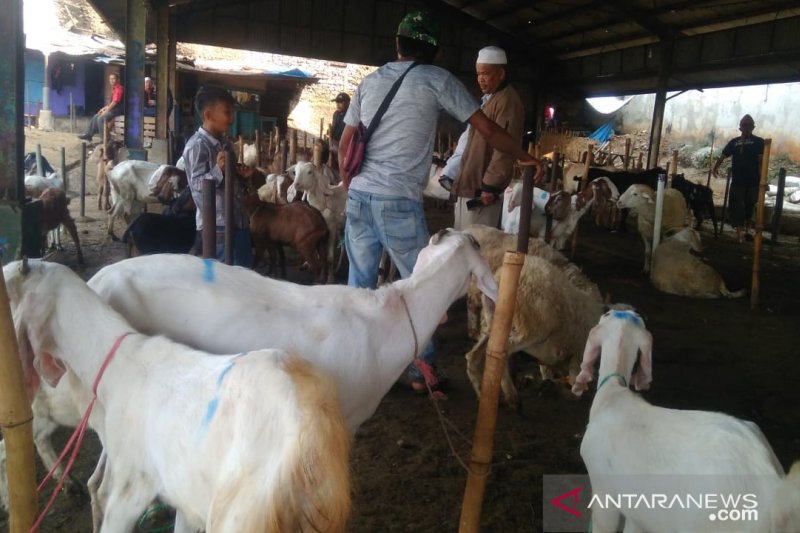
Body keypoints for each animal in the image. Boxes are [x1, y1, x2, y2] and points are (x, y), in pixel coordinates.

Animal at [462, 254, 608, 408]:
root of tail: (499, 278)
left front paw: (548, 384)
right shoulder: (579, 352)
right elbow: (575, 386)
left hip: (495, 325)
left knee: (474, 356)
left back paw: (482, 394)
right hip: (533, 327)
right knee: (503, 352)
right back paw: (512, 397)